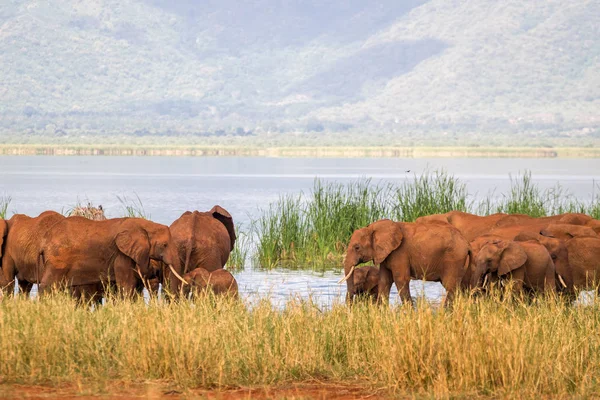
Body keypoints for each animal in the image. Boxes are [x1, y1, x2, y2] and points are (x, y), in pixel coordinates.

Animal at [37, 217, 183, 298]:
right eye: (164, 245)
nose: (157, 270)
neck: (147, 225)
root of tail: (43, 241)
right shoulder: (121, 254)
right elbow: (126, 284)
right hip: (56, 260)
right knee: (48, 285)